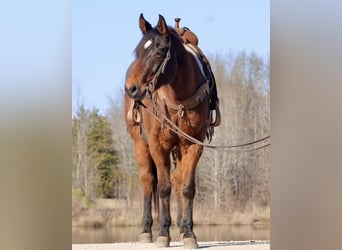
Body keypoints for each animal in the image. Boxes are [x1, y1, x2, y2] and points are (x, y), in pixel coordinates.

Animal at [125, 13, 216, 248]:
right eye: (137, 52)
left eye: (158, 52)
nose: (131, 88)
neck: (178, 98)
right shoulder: (158, 145)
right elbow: (163, 187)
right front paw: (163, 233)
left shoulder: (193, 145)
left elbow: (186, 187)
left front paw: (189, 233)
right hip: (140, 145)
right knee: (148, 181)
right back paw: (146, 230)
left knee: (177, 180)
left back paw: (181, 228)